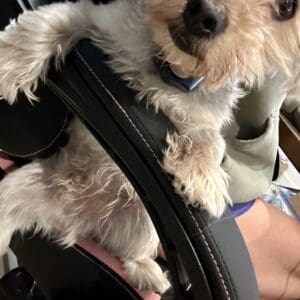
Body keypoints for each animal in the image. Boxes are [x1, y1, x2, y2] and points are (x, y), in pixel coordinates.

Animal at [0, 0, 300, 292]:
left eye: (285, 8)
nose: (205, 13)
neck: (171, 69)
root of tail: (79, 224)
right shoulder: (97, 20)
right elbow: (53, 23)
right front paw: (9, 66)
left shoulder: (203, 119)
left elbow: (211, 141)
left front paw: (203, 182)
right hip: (18, 189)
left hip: (144, 225)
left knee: (130, 254)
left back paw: (150, 273)